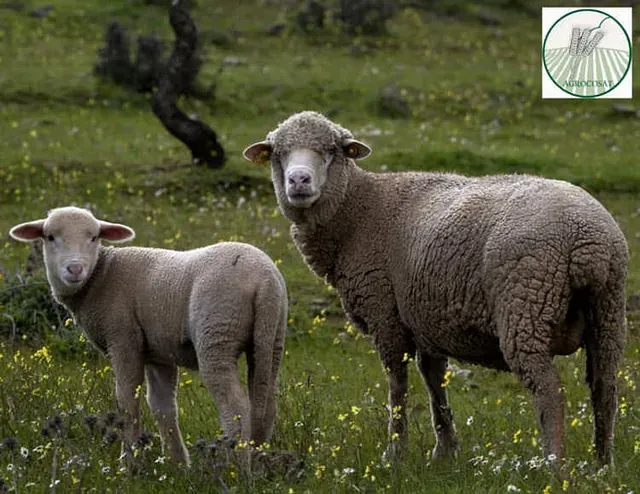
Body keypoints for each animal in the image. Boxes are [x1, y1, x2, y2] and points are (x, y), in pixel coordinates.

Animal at [9, 206, 288, 468]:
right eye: (50, 237)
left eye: (94, 237)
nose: (75, 269)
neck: (102, 275)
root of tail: (264, 280)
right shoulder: (158, 352)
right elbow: (162, 406)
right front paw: (177, 464)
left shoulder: (123, 337)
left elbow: (127, 400)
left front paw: (129, 463)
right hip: (271, 337)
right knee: (266, 401)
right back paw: (257, 460)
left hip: (217, 331)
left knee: (235, 406)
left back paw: (236, 469)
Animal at [243, 111, 628, 466]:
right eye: (279, 153)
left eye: (331, 151)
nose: (299, 179)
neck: (357, 211)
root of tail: (588, 237)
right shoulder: (425, 318)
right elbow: (434, 383)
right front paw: (444, 451)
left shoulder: (385, 313)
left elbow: (397, 384)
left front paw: (395, 453)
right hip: (608, 309)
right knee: (605, 388)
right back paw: (603, 464)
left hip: (526, 304)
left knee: (549, 390)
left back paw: (553, 467)